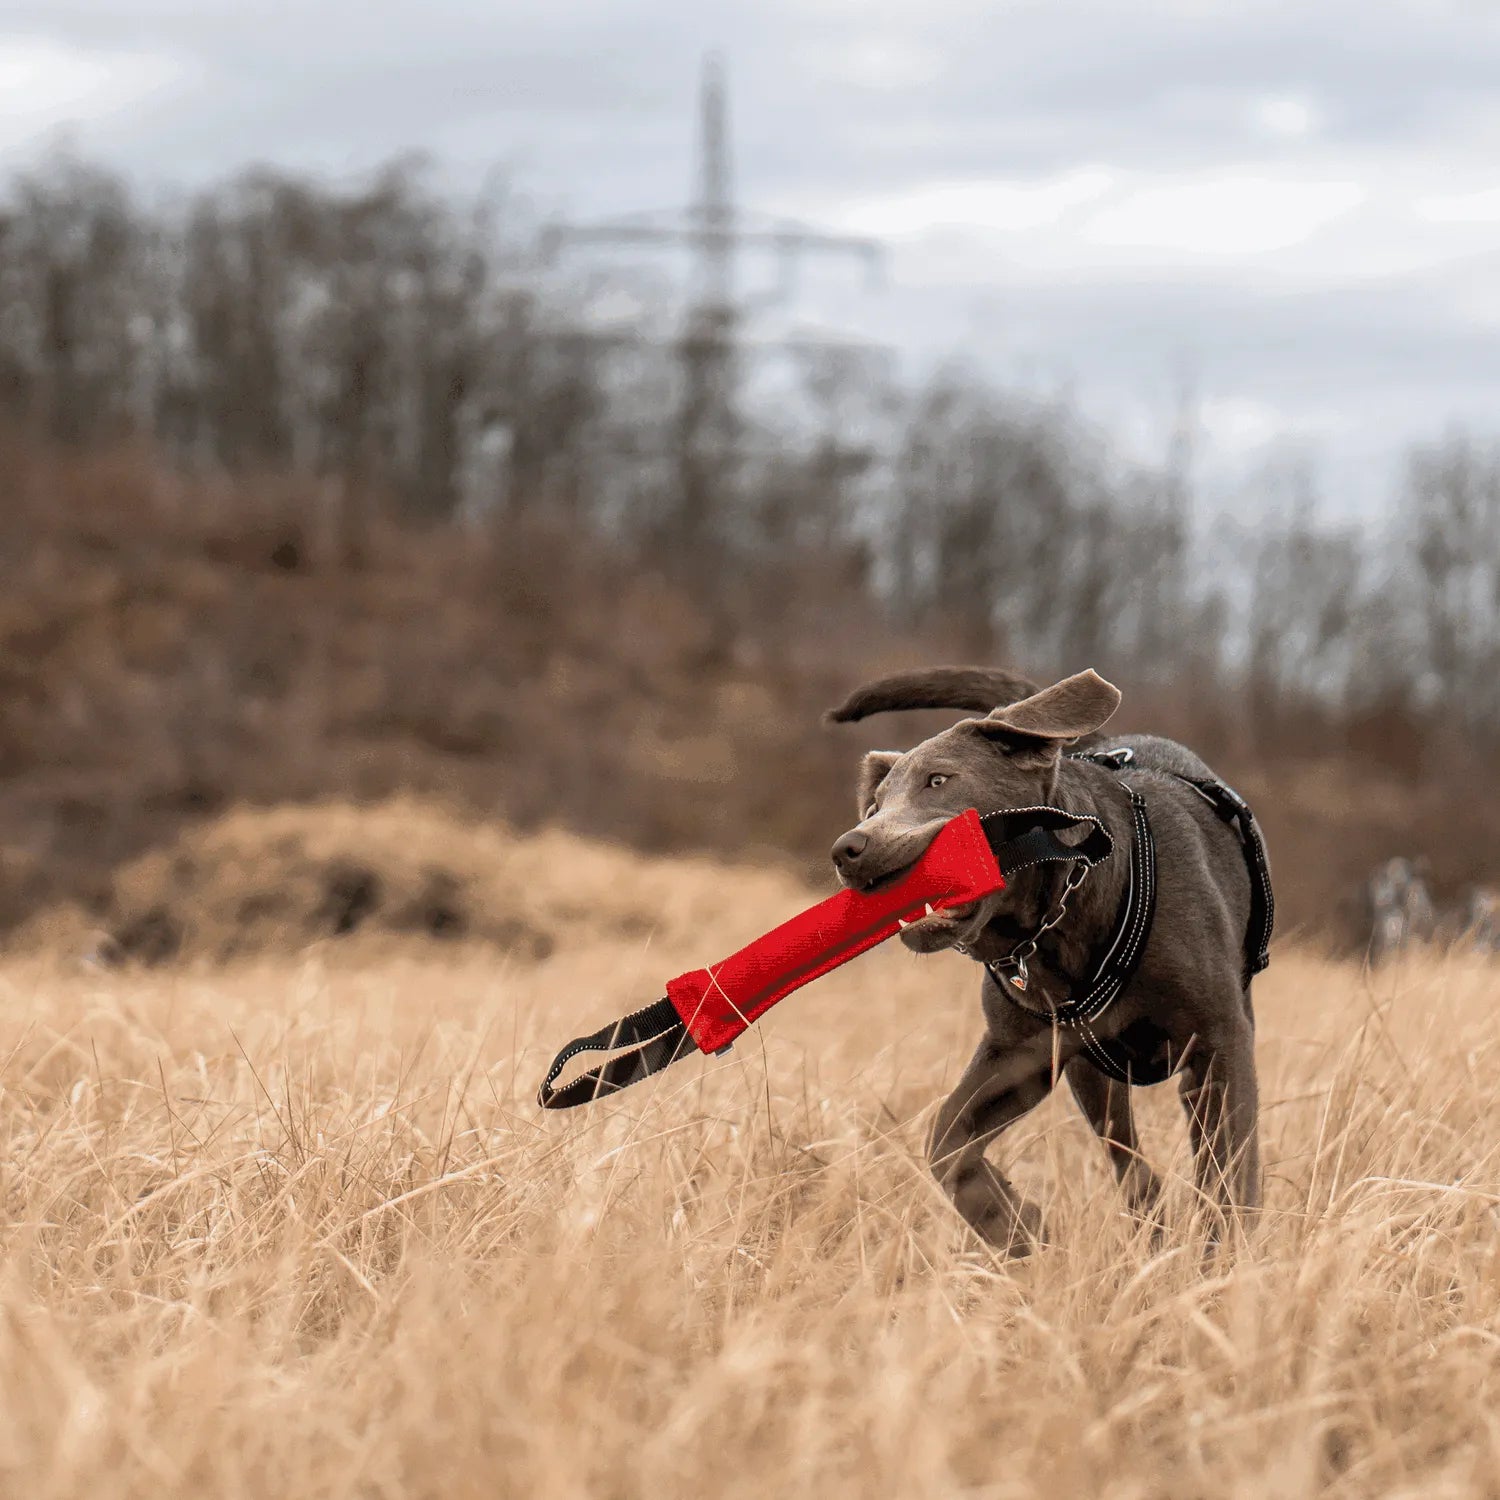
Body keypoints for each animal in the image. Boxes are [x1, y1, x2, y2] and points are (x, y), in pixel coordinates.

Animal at [828, 669, 1272, 1254]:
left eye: (939, 780)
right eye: (874, 807)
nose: (849, 850)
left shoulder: (1220, 1041)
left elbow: (1230, 1171)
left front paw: (1224, 1259)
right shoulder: (1022, 1054)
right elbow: (946, 1140)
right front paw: (1019, 1228)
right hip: (1092, 1073)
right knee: (1128, 1159)